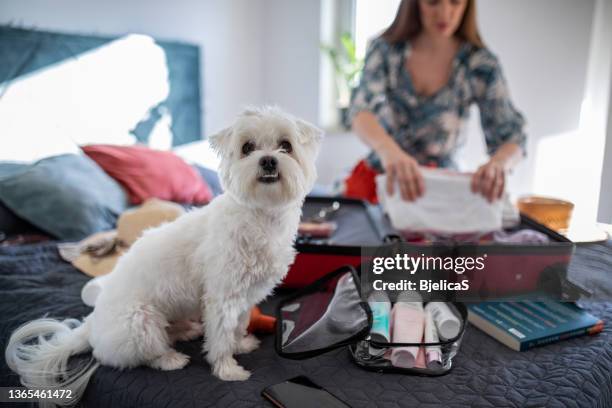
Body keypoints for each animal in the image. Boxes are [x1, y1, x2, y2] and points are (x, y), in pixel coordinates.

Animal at [5, 106, 326, 402]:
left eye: (286, 145)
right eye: (247, 147)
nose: (268, 160)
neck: (261, 215)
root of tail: (91, 325)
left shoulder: (246, 295)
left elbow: (237, 326)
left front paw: (241, 344)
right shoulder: (223, 297)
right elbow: (221, 336)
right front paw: (227, 369)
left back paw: (186, 331)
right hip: (140, 321)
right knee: (141, 355)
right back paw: (171, 358)